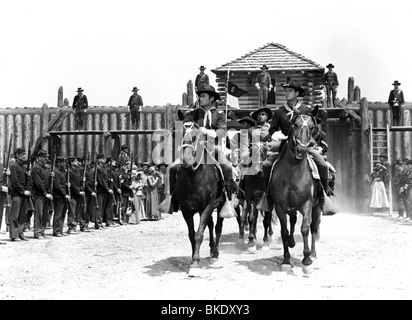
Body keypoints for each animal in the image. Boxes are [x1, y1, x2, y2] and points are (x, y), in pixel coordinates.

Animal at [172, 109, 227, 276]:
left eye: (196, 134)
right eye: (178, 132)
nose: (187, 159)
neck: (193, 176)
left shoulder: (207, 207)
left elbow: (199, 234)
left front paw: (196, 264)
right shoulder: (186, 209)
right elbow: (192, 234)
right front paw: (192, 259)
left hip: (220, 205)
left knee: (218, 227)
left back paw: (215, 253)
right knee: (211, 224)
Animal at [268, 114, 324, 274]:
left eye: (312, 128)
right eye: (295, 124)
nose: (301, 150)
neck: (293, 172)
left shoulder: (307, 204)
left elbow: (305, 228)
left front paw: (307, 261)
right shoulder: (280, 206)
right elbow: (284, 231)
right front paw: (286, 260)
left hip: (316, 208)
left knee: (313, 228)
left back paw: (313, 252)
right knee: (292, 221)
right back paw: (292, 243)